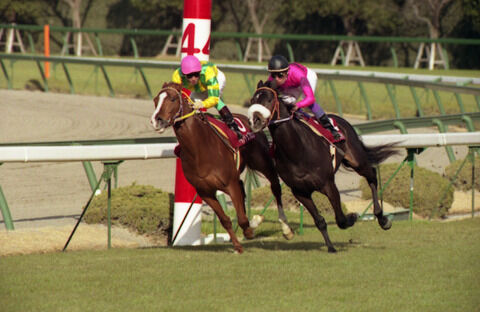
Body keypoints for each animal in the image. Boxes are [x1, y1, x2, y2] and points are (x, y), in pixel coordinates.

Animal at [151, 81, 292, 252]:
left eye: (172, 99)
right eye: (155, 100)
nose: (157, 120)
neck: (199, 150)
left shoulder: (230, 184)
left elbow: (242, 219)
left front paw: (250, 230)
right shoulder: (205, 192)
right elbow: (225, 219)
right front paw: (238, 245)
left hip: (263, 163)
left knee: (275, 187)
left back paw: (286, 229)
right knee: (243, 188)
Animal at [248, 80, 398, 254]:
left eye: (269, 99)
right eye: (252, 100)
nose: (255, 120)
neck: (297, 150)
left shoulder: (329, 185)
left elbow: (340, 219)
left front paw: (352, 217)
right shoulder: (300, 192)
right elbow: (319, 220)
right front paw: (330, 247)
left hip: (357, 161)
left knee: (372, 175)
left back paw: (382, 219)